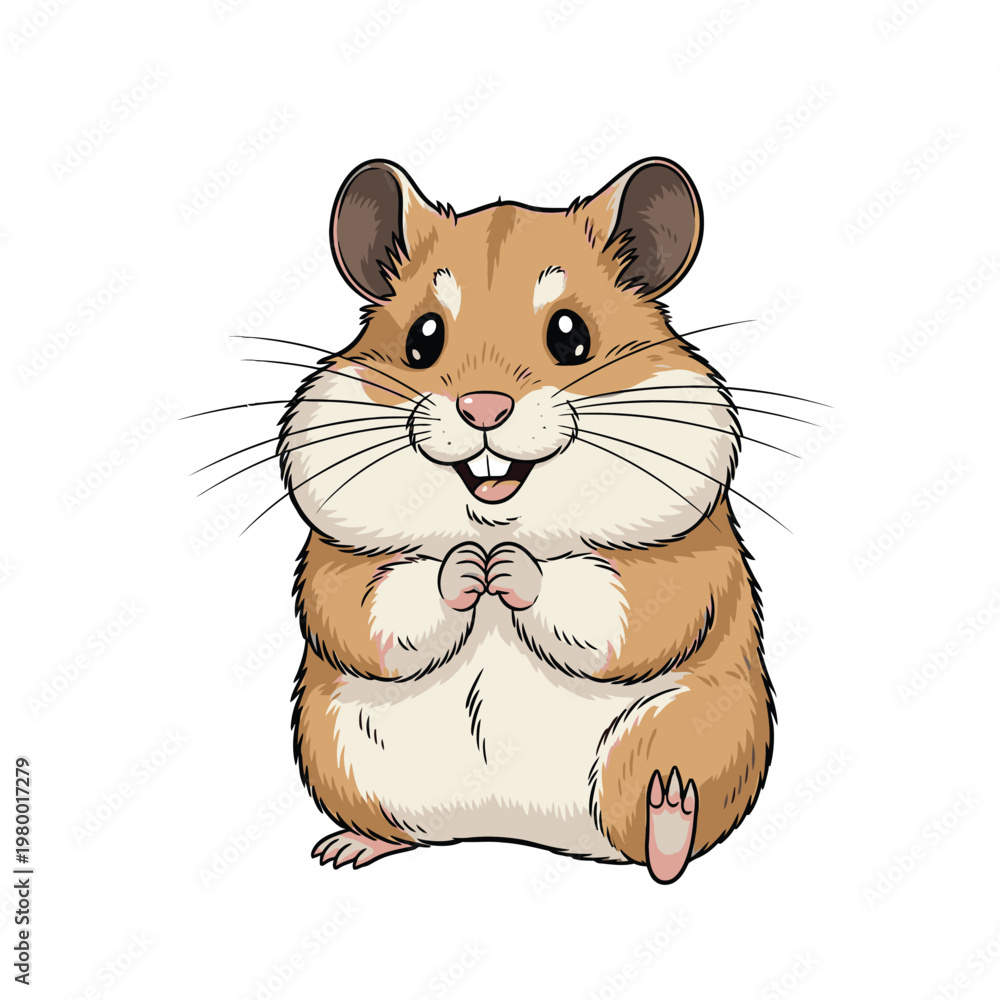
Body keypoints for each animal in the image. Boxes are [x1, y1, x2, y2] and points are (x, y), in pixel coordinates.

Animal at [282, 157, 774, 883]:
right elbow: (364, 606)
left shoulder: (682, 559)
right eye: (422, 340)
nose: (483, 408)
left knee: (661, 818)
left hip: (686, 732)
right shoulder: (334, 561)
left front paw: (509, 569)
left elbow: (620, 605)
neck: (498, 517)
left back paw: (668, 823)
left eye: (571, 337)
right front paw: (469, 569)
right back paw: (345, 850)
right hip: (332, 746)